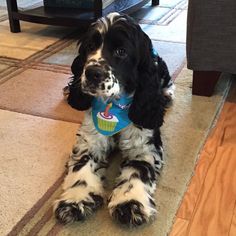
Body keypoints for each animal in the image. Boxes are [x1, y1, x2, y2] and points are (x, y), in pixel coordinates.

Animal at [54, 11, 174, 227]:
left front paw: (130, 203)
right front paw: (75, 200)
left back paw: (166, 95)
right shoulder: (90, 140)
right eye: (90, 46)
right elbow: (82, 165)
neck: (114, 107)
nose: (91, 73)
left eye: (121, 51)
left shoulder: (145, 145)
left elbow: (137, 170)